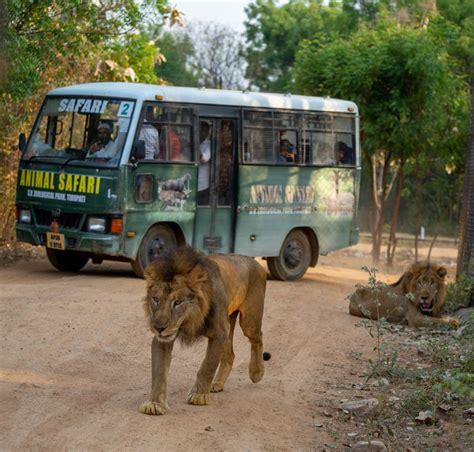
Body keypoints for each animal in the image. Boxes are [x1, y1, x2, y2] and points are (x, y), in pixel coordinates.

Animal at [139, 245, 268, 414]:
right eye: (155, 299)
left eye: (178, 302)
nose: (158, 328)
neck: (190, 321)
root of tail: (254, 261)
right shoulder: (164, 339)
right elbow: (159, 371)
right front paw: (155, 404)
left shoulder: (219, 333)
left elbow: (207, 365)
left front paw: (199, 395)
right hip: (229, 323)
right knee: (230, 355)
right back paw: (217, 384)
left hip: (248, 320)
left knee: (258, 338)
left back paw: (256, 372)